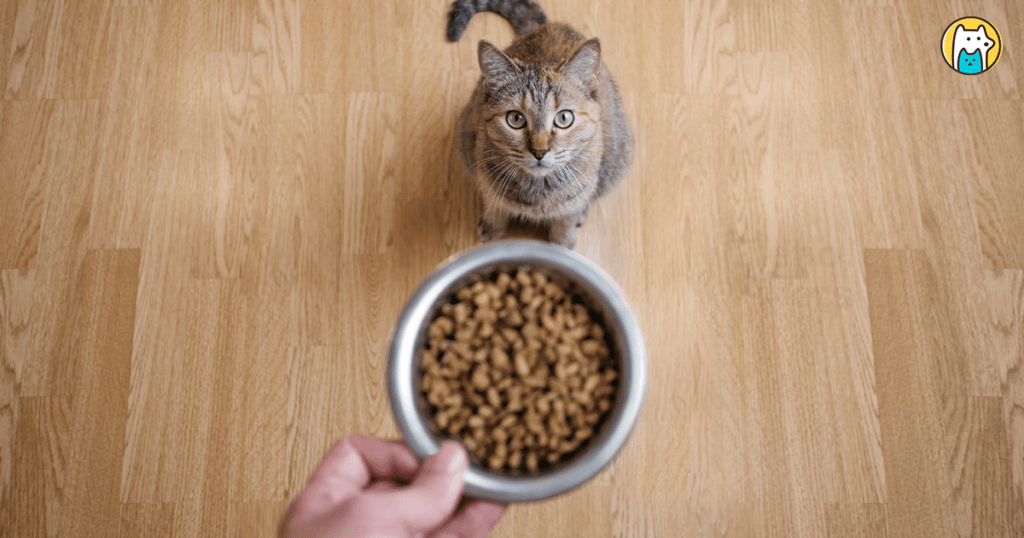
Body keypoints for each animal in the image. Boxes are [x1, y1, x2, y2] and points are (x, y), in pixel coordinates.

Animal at [448, 0, 630, 247]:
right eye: (515, 119)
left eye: (564, 118)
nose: (539, 151)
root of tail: (551, 25)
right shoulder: (486, 178)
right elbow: (495, 206)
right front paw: (493, 229)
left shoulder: (576, 197)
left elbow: (565, 222)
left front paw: (562, 244)